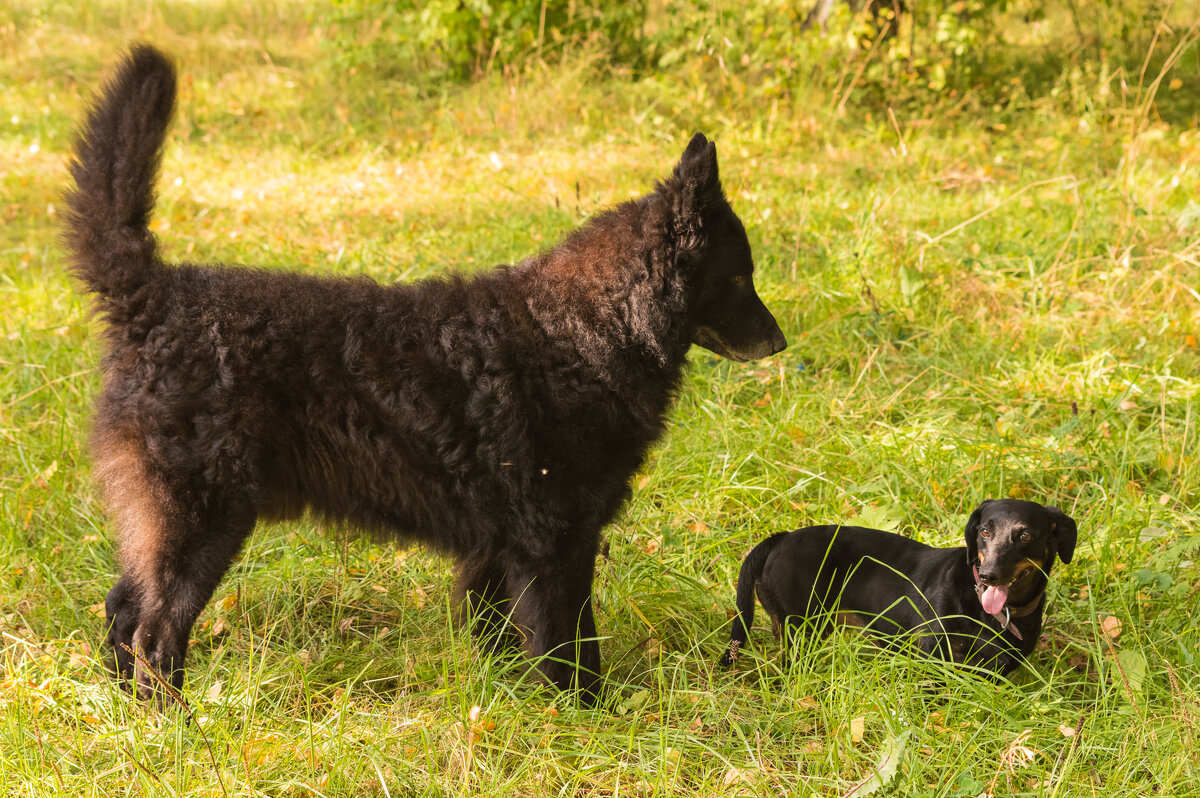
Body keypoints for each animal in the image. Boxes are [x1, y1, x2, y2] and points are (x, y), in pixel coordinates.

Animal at [70, 45, 792, 705]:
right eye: (738, 277)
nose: (781, 342)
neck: (584, 331)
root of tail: (154, 296)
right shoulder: (554, 543)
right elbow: (568, 648)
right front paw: (584, 719)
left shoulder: (498, 550)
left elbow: (508, 640)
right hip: (201, 523)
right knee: (155, 636)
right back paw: (181, 727)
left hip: (163, 530)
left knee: (122, 614)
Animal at [720, 499, 1080, 672]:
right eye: (985, 531)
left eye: (1025, 536)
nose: (989, 575)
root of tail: (779, 539)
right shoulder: (932, 658)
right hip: (801, 629)